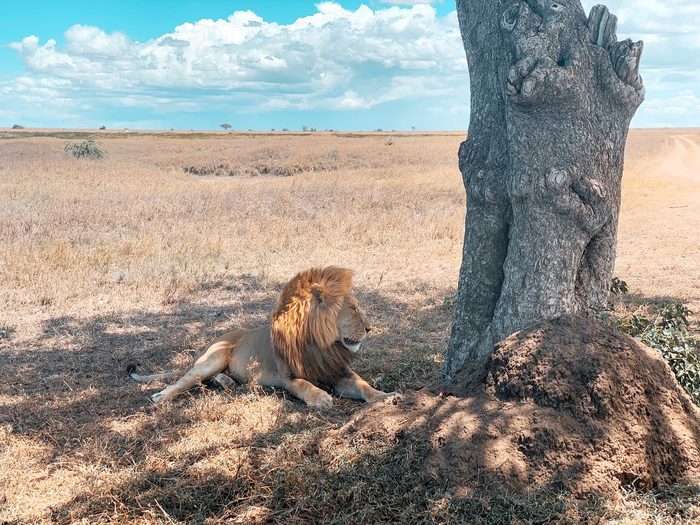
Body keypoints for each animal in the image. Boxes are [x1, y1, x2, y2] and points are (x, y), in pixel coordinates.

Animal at [128, 266, 396, 409]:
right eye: (353, 309)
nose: (370, 328)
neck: (324, 346)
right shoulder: (288, 377)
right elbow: (304, 385)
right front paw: (320, 398)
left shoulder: (338, 372)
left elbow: (363, 385)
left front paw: (385, 396)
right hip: (213, 358)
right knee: (187, 379)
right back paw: (162, 396)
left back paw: (226, 382)